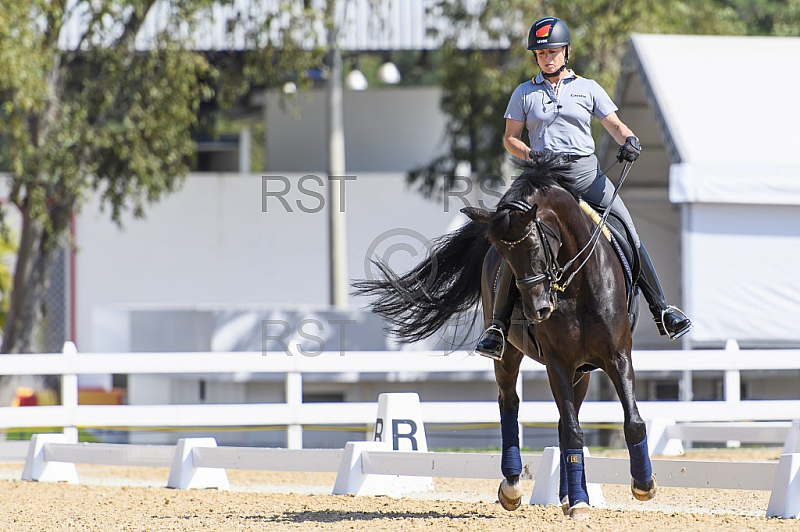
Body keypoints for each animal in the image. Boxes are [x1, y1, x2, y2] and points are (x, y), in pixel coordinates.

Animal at [354, 152, 656, 516]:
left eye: (537, 244)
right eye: (506, 255)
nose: (538, 309)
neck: (575, 286)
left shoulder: (616, 356)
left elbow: (630, 422)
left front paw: (643, 486)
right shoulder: (557, 362)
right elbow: (572, 430)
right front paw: (582, 501)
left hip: (582, 371)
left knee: (562, 419)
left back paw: (565, 494)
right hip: (509, 354)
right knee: (509, 403)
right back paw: (513, 485)